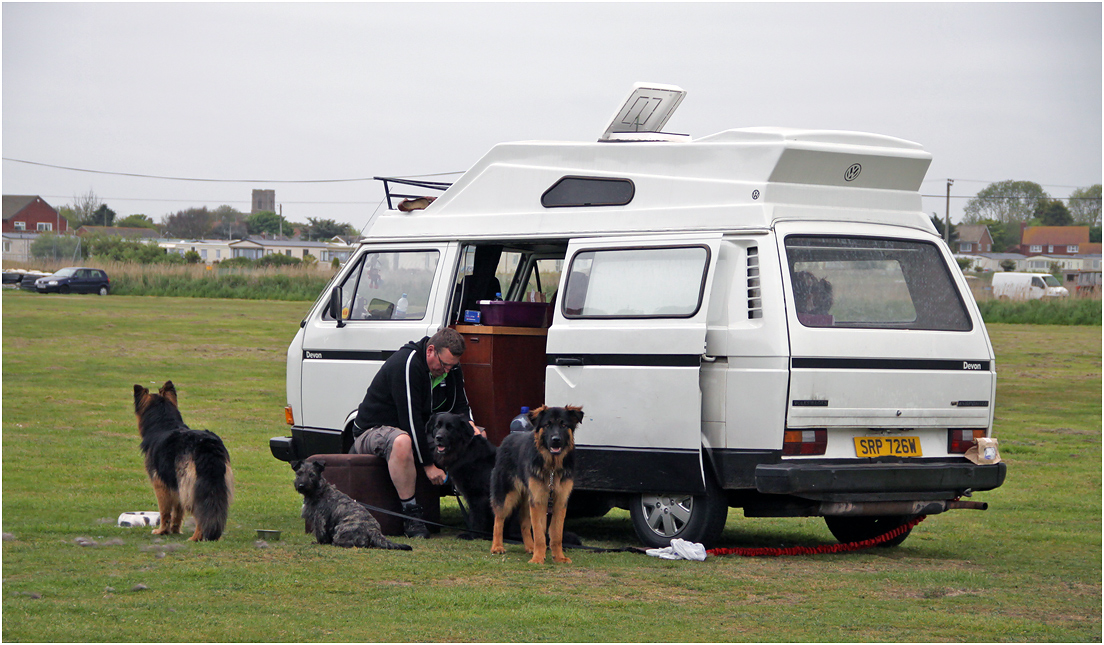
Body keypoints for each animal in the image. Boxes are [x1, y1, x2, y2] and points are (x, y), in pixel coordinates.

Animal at [133, 382, 232, 538]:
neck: (165, 423)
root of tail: (207, 444)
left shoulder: (161, 485)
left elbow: (165, 512)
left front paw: (162, 531)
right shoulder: (177, 486)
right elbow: (178, 512)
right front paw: (175, 530)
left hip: (191, 487)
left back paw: (196, 538)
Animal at [490, 406, 582, 561]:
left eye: (563, 425)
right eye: (547, 425)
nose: (556, 440)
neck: (552, 467)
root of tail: (508, 437)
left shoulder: (559, 502)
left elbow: (556, 534)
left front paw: (559, 557)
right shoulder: (538, 501)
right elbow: (539, 534)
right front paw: (538, 558)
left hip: (528, 499)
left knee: (524, 523)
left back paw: (530, 547)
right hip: (507, 495)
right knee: (498, 519)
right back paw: (497, 546)